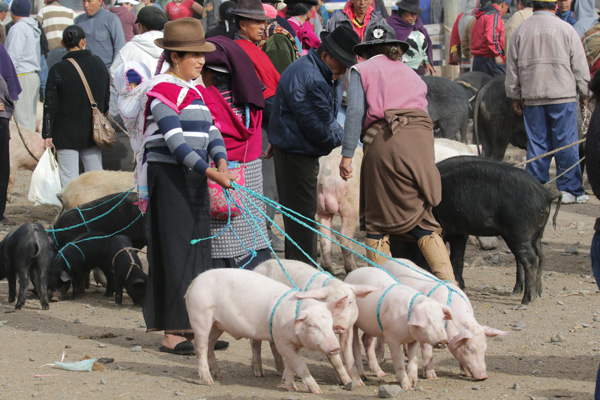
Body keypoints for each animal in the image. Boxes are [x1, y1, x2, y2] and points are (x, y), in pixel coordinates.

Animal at [186, 268, 346, 394]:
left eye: (330, 324)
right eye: (313, 325)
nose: (336, 347)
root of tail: (194, 282)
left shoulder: (292, 344)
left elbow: (292, 364)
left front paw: (291, 387)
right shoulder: (281, 340)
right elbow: (300, 364)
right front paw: (317, 391)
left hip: (217, 324)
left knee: (210, 343)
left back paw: (218, 375)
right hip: (200, 316)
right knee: (200, 346)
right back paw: (209, 381)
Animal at [253, 260, 380, 388]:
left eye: (349, 302)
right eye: (330, 303)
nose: (338, 326)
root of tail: (259, 266)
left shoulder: (348, 328)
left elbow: (348, 354)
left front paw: (359, 383)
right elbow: (336, 359)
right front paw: (347, 382)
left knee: (273, 344)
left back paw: (280, 372)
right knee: (255, 343)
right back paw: (259, 373)